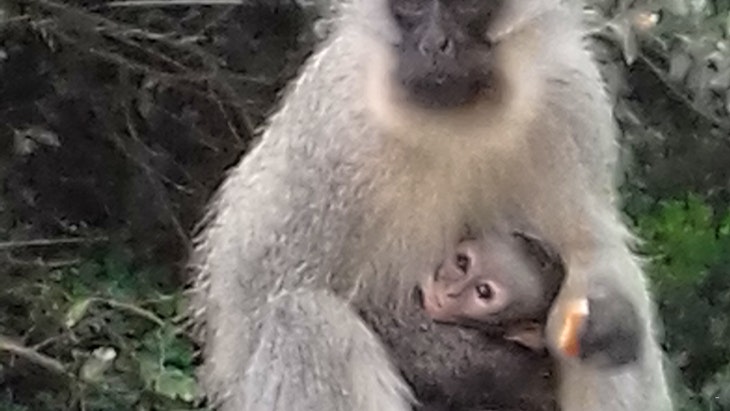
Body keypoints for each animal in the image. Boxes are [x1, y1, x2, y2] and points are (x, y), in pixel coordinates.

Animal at [190, 0, 674, 410]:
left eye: (467, 6)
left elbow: (593, 256)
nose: (434, 45)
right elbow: (249, 314)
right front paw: (485, 369)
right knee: (304, 318)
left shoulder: (571, 96)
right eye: (412, 4)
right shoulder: (331, 128)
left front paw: (607, 317)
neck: (454, 122)